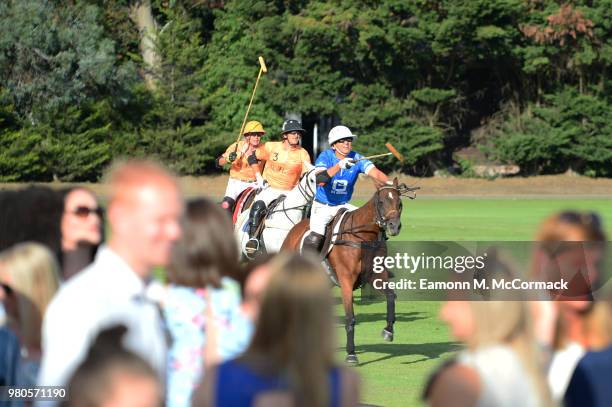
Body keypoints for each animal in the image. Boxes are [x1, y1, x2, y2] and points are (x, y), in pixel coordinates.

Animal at [280, 178, 416, 364]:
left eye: (399, 203)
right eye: (381, 202)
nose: (394, 226)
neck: (364, 237)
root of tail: (294, 230)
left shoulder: (376, 276)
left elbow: (391, 296)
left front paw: (388, 331)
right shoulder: (346, 281)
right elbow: (350, 318)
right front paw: (351, 354)